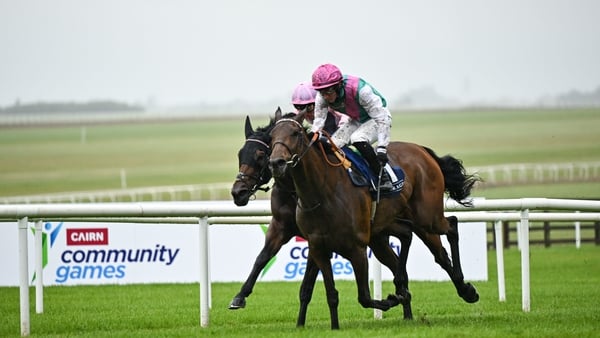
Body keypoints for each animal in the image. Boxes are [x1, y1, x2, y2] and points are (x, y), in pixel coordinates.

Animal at [268, 113, 478, 328]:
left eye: (295, 133)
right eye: (271, 136)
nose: (276, 163)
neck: (322, 192)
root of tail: (421, 150)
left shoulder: (357, 249)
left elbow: (364, 297)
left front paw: (392, 299)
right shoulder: (319, 248)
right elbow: (331, 293)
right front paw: (334, 327)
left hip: (427, 216)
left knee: (451, 227)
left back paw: (465, 289)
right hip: (387, 230)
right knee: (410, 237)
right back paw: (408, 287)